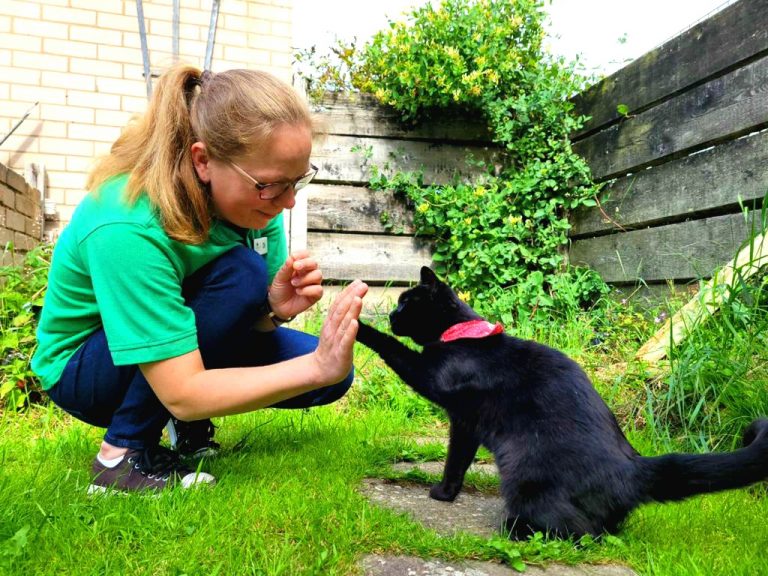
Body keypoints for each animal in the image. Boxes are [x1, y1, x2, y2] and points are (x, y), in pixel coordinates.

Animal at [355, 266, 768, 539]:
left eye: (405, 303)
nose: (390, 315)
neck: (462, 336)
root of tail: (633, 467)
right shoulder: (466, 424)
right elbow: (457, 463)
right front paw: (447, 493)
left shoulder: (434, 382)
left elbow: (394, 351)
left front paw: (357, 325)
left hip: (526, 477)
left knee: (581, 531)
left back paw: (516, 529)